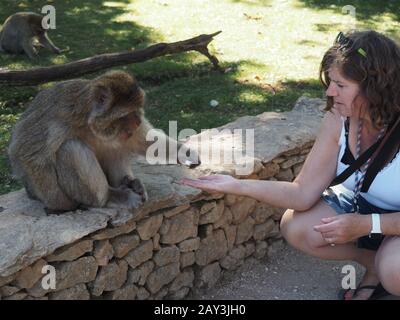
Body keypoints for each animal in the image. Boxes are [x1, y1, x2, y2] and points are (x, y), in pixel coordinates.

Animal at [8, 71, 203, 214]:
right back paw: (111, 196)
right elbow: (28, 156)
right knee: (71, 148)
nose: (137, 121)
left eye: (137, 110)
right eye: (126, 114)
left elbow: (143, 140)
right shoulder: (55, 121)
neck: (89, 123)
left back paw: (128, 182)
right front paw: (62, 205)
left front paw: (184, 152)